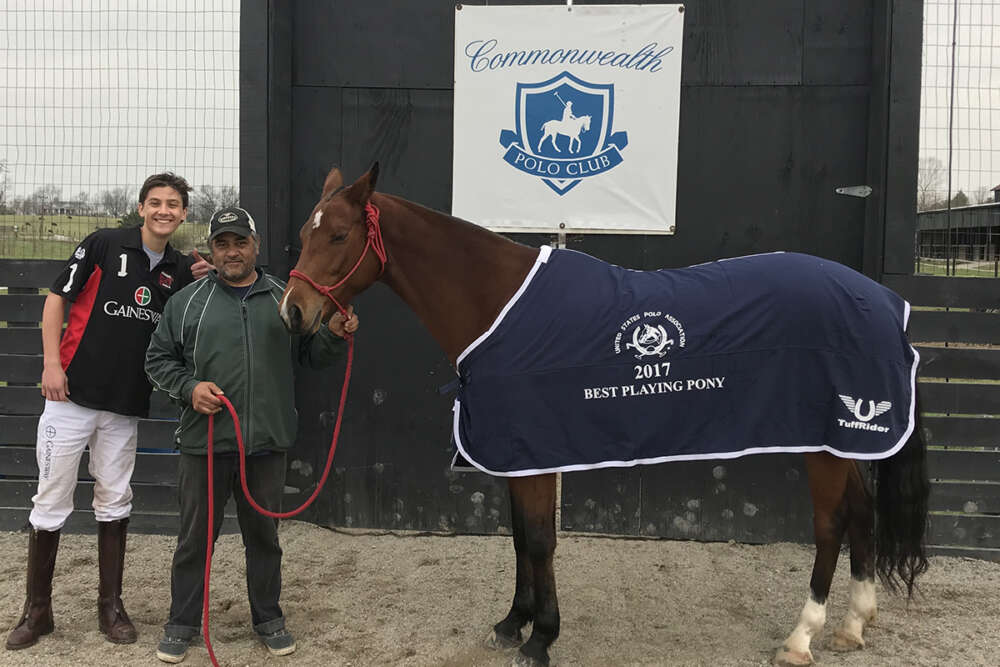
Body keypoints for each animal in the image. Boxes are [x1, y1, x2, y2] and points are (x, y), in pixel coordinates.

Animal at [276, 166, 928, 667]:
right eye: (307, 233)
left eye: (338, 234)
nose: (293, 312)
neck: (499, 304)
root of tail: (883, 301)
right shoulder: (519, 453)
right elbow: (520, 538)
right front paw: (513, 622)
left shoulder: (536, 452)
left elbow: (540, 540)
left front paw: (541, 638)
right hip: (845, 441)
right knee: (862, 512)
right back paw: (853, 624)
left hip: (822, 445)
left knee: (830, 525)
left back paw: (801, 637)